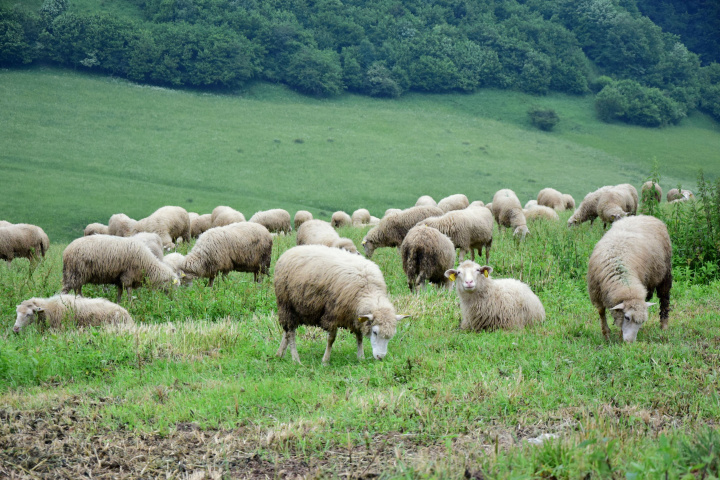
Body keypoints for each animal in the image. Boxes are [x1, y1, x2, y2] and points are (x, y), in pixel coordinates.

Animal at [276, 244, 408, 364]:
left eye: (391, 335)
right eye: (375, 332)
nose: (380, 357)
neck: (367, 289)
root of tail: (291, 250)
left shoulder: (355, 316)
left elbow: (359, 337)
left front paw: (361, 357)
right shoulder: (332, 314)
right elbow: (331, 339)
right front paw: (325, 361)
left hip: (299, 308)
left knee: (287, 332)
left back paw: (280, 354)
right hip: (286, 305)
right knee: (291, 333)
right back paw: (296, 359)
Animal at [588, 216, 672, 344]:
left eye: (642, 321)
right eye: (627, 317)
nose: (630, 342)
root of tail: (646, 216)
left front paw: (619, 336)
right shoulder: (596, 292)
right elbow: (601, 312)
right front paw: (606, 334)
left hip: (665, 273)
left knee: (664, 299)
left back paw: (664, 326)